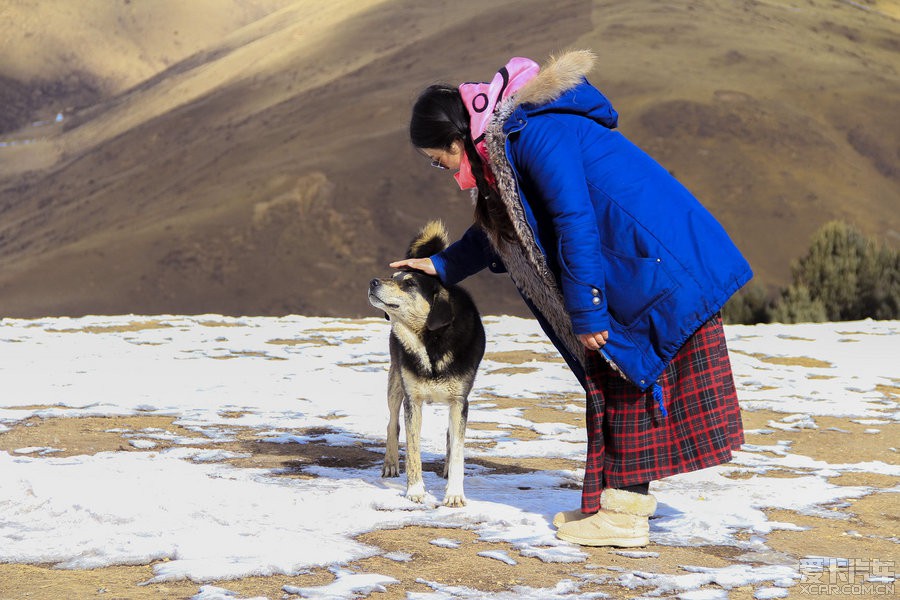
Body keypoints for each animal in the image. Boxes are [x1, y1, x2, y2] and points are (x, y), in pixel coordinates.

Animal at [368, 221, 486, 506]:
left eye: (409, 283)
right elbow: (412, 448)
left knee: (450, 437)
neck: (431, 342)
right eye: (393, 277)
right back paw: (390, 464)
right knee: (392, 424)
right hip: (395, 381)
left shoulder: (460, 401)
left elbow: (458, 451)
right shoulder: (413, 400)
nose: (373, 281)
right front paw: (415, 491)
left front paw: (454, 495)